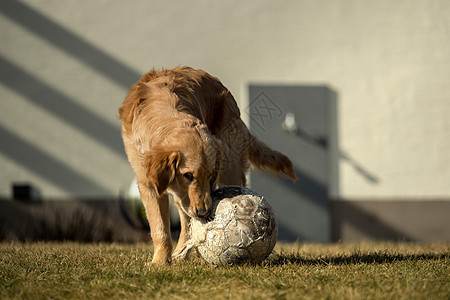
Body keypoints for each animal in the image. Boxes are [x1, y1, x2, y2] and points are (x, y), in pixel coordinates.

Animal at [118, 67, 298, 264]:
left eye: (210, 175)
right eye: (188, 175)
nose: (204, 212)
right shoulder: (149, 183)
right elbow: (160, 228)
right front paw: (160, 262)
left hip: (230, 164)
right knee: (186, 220)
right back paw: (182, 253)